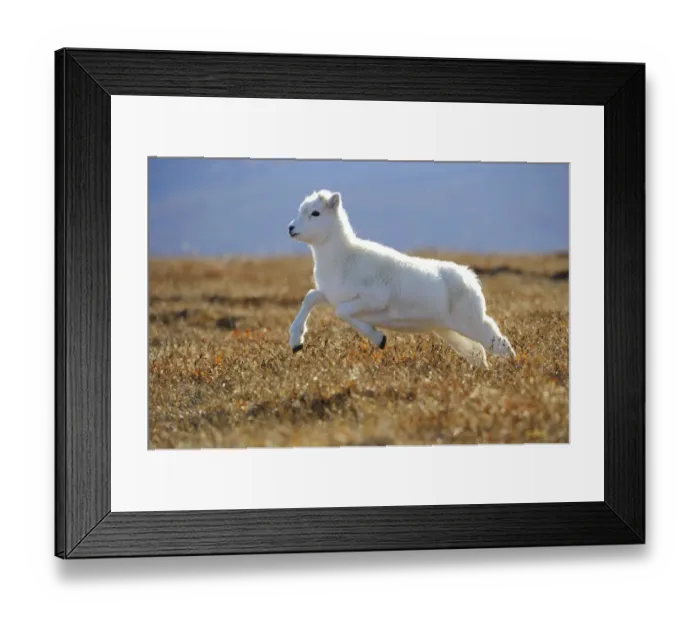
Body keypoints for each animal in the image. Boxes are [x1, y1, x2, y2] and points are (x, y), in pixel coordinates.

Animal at [287, 189, 516, 368]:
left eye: (315, 213)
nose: (290, 228)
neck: (343, 257)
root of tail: (469, 278)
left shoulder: (372, 299)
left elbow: (342, 312)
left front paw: (379, 339)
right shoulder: (330, 295)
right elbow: (311, 298)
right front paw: (296, 343)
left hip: (471, 323)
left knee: (498, 342)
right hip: (450, 331)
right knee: (477, 352)